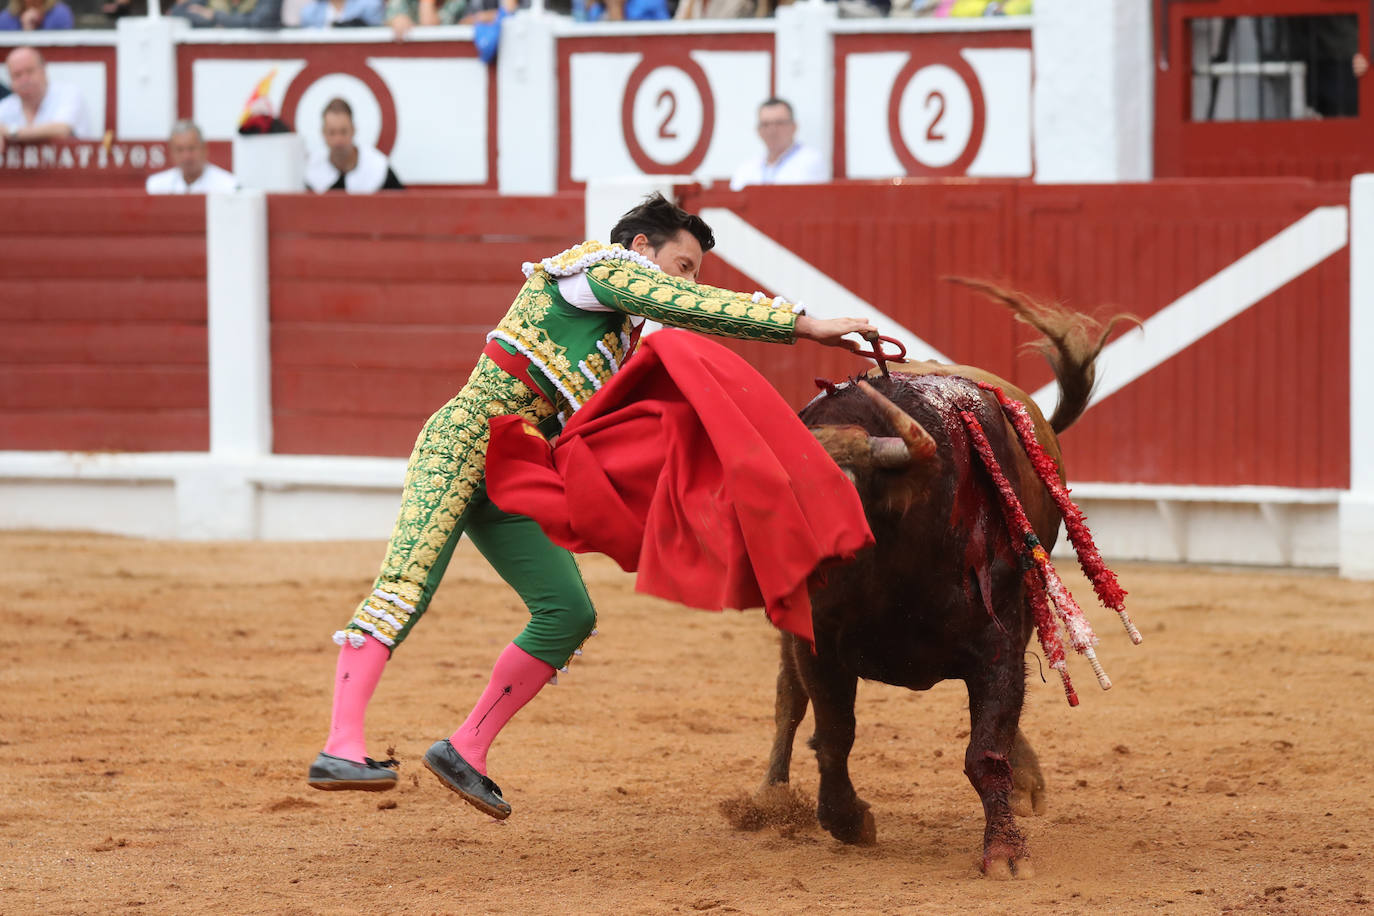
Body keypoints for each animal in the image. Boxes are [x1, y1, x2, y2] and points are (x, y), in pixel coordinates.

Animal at [752, 284, 1126, 878]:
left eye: (846, 493)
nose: (778, 568)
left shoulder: (998, 638)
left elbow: (987, 750)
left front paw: (1006, 851)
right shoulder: (816, 640)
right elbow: (833, 734)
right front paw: (847, 820)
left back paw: (1027, 781)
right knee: (789, 700)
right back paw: (768, 798)